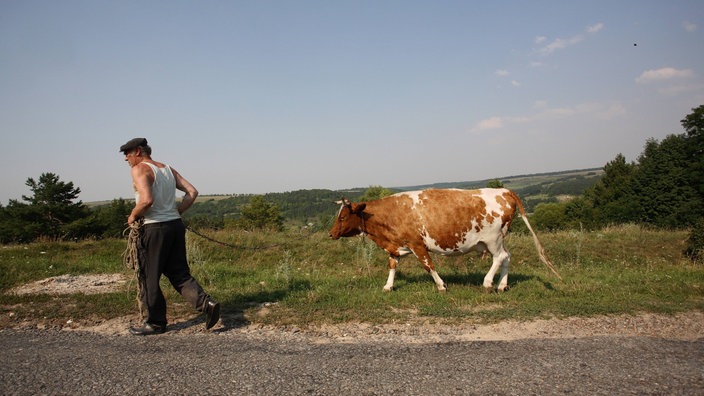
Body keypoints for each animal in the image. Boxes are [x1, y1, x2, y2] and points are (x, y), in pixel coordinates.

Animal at [328, 187, 560, 292]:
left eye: (342, 216)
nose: (330, 234)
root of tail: (503, 190)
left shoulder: (417, 244)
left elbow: (428, 265)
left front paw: (441, 285)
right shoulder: (396, 246)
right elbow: (392, 265)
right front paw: (388, 286)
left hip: (493, 239)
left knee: (500, 257)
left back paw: (487, 283)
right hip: (500, 238)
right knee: (507, 257)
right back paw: (502, 285)